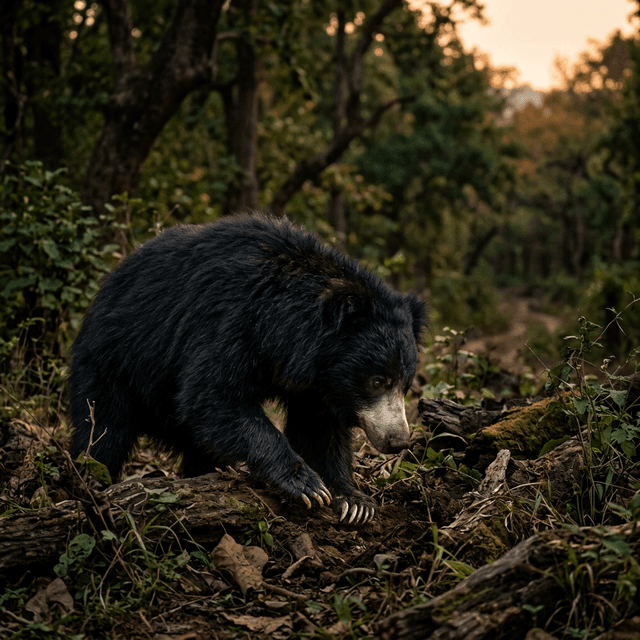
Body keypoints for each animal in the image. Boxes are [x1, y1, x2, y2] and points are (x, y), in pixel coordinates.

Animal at [69, 213, 425, 524]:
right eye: (377, 381)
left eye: (405, 385)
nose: (398, 441)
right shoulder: (232, 320)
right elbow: (213, 395)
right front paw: (306, 485)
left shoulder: (319, 383)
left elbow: (318, 429)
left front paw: (353, 502)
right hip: (115, 361)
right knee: (103, 432)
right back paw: (90, 489)